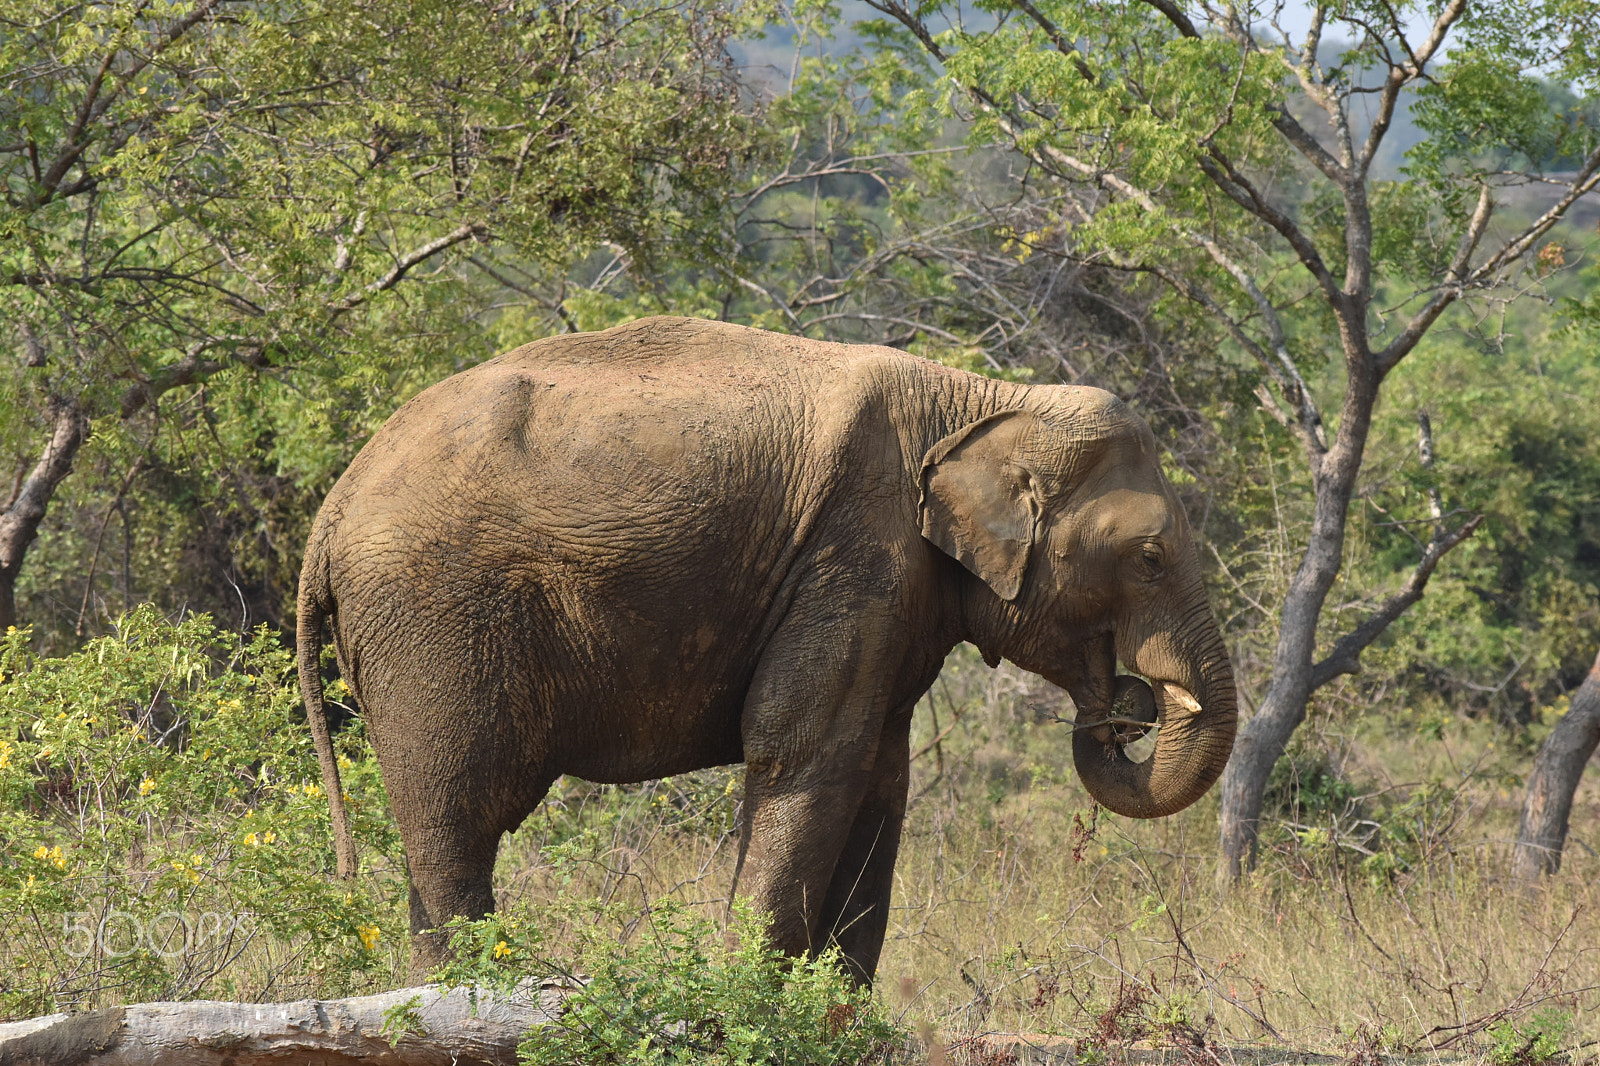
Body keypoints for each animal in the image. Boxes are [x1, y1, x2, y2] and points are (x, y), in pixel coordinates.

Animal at [297, 315, 1237, 983]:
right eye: (1151, 558)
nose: (1129, 708)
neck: (980, 399)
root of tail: (331, 513)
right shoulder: (855, 556)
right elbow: (805, 752)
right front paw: (747, 998)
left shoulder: (889, 591)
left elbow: (879, 777)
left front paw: (835, 1012)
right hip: (432, 617)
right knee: (455, 817)